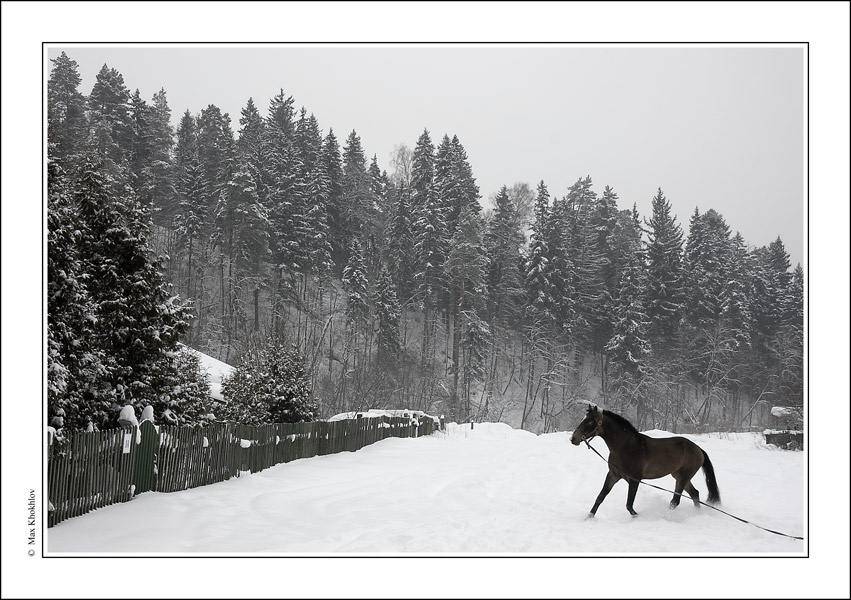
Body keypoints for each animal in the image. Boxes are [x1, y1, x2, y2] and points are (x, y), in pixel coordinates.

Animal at [570, 405, 721, 518]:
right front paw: (589, 517)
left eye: (589, 422)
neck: (625, 447)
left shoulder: (634, 479)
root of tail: (699, 449)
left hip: (683, 477)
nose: (573, 439)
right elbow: (600, 497)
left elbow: (629, 505)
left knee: (675, 501)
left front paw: (637, 516)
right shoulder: (613, 475)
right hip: (680, 476)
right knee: (694, 494)